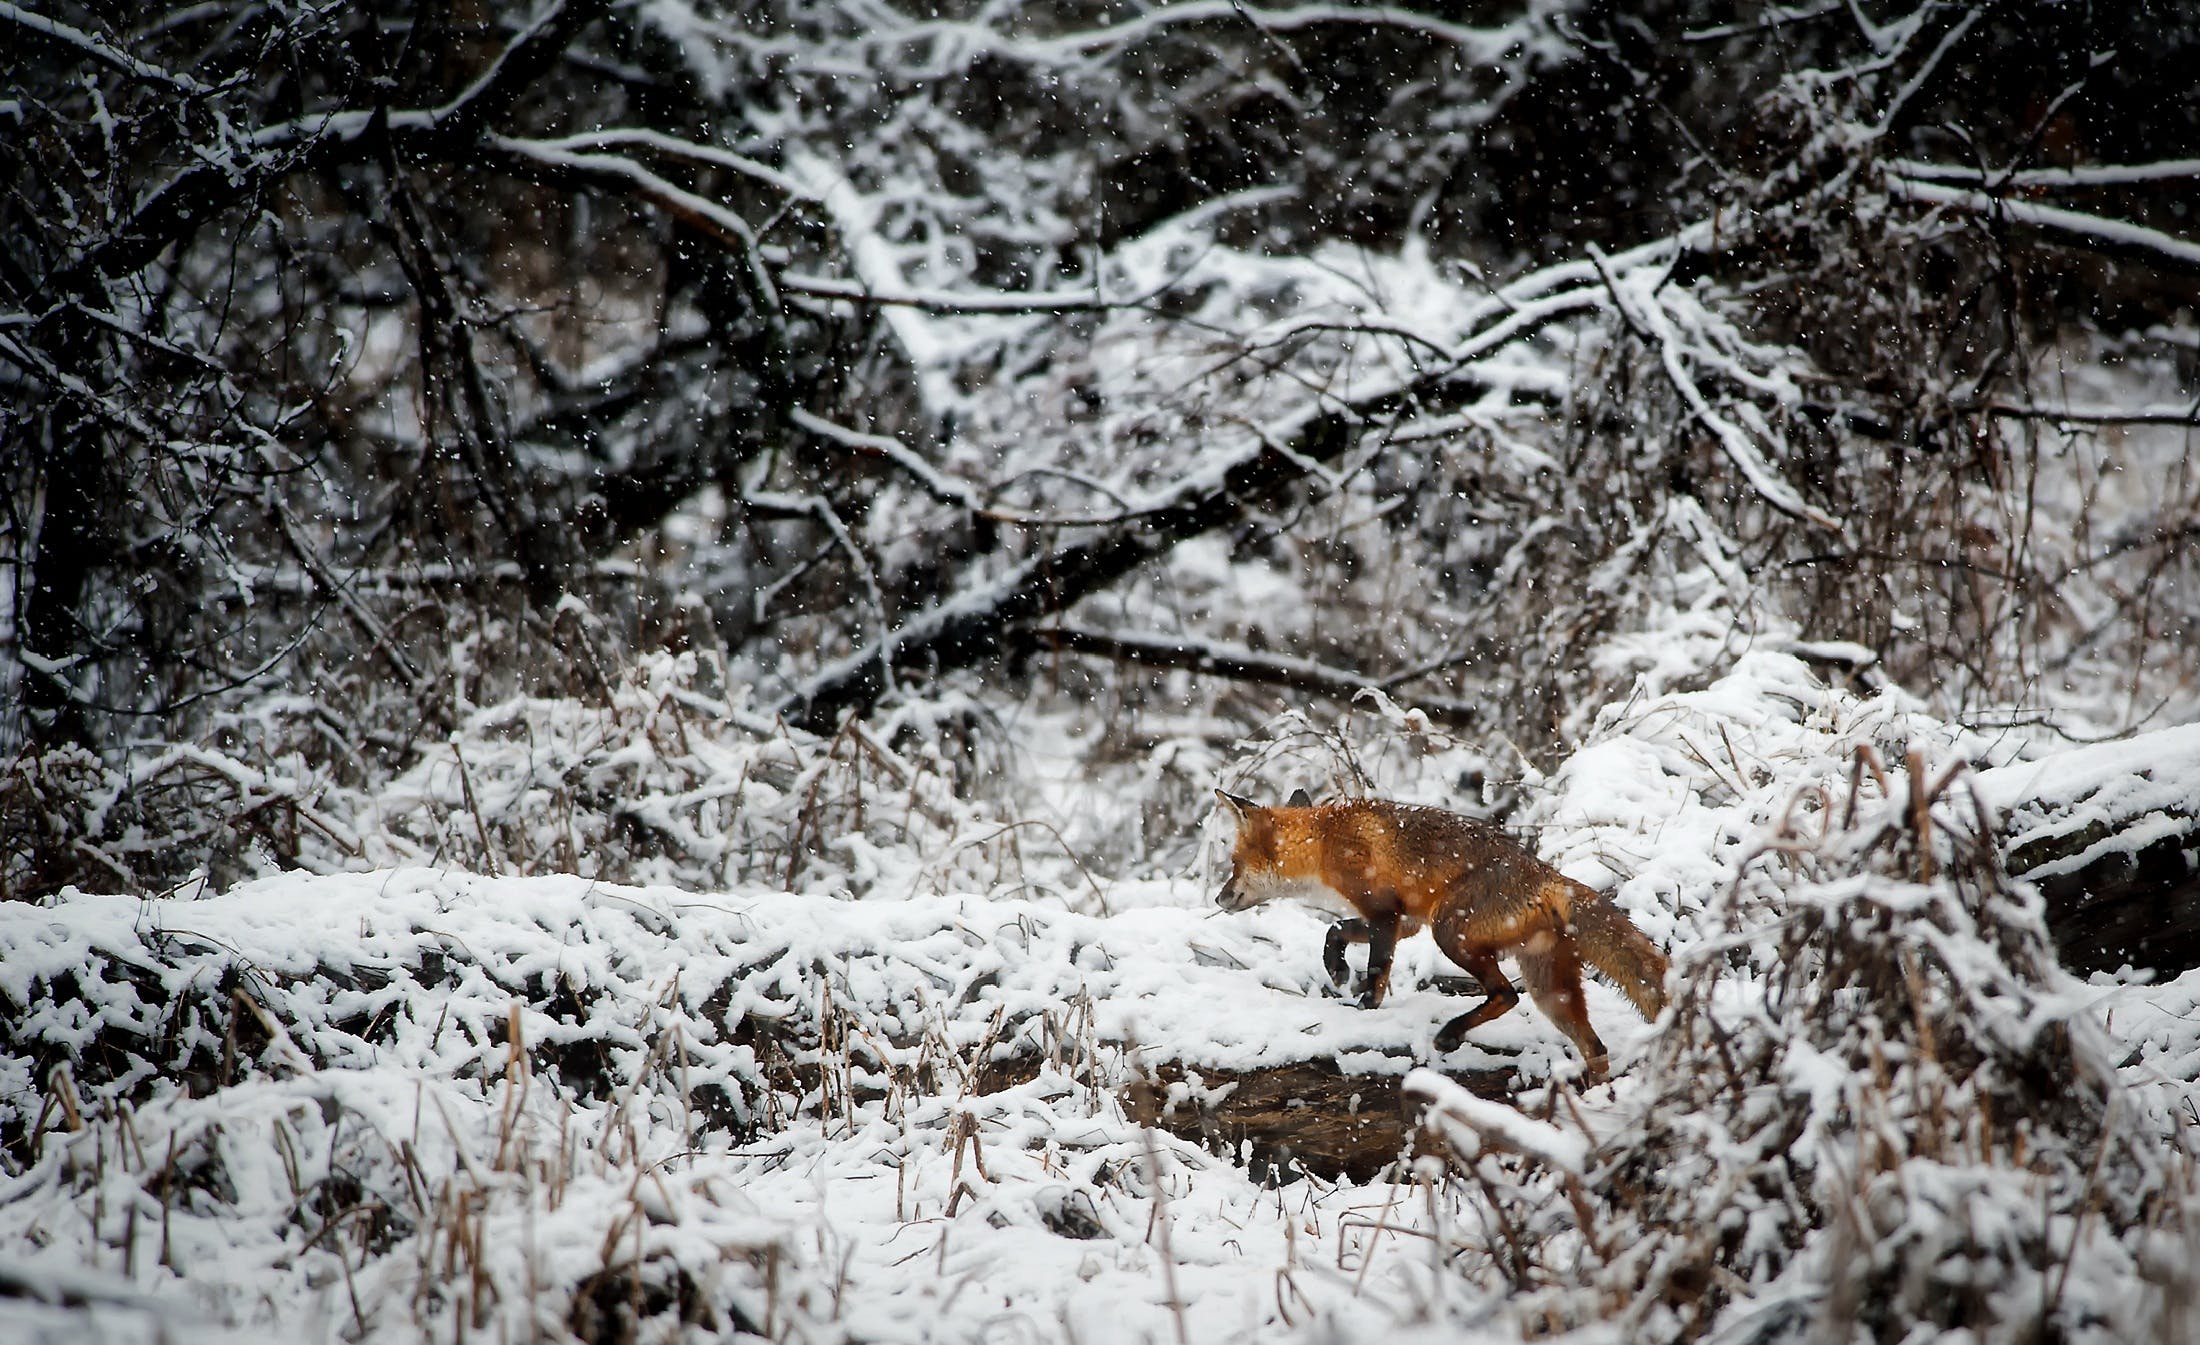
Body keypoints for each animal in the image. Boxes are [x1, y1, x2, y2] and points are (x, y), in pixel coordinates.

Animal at [1205, 788, 1663, 1083]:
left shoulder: (1385, 913)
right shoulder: (1404, 921)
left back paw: (1451, 1033)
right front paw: (1336, 968)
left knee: (1505, 995)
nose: (1218, 897)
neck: (1326, 840)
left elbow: (1376, 971)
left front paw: (1364, 1009)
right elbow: (1336, 930)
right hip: (1550, 990)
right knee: (1595, 1049)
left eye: (1234, 863)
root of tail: (1550, 876)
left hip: (1451, 932)